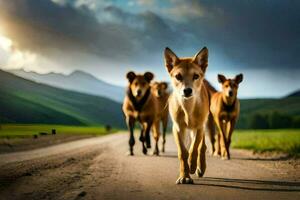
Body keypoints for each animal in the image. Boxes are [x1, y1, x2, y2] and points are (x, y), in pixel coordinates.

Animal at [164, 47, 213, 184]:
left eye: (195, 76)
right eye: (178, 76)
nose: (187, 90)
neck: (188, 109)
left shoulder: (199, 127)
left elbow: (194, 148)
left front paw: (192, 165)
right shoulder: (177, 128)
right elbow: (183, 152)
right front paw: (184, 176)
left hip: (202, 126)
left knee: (202, 146)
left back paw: (200, 167)